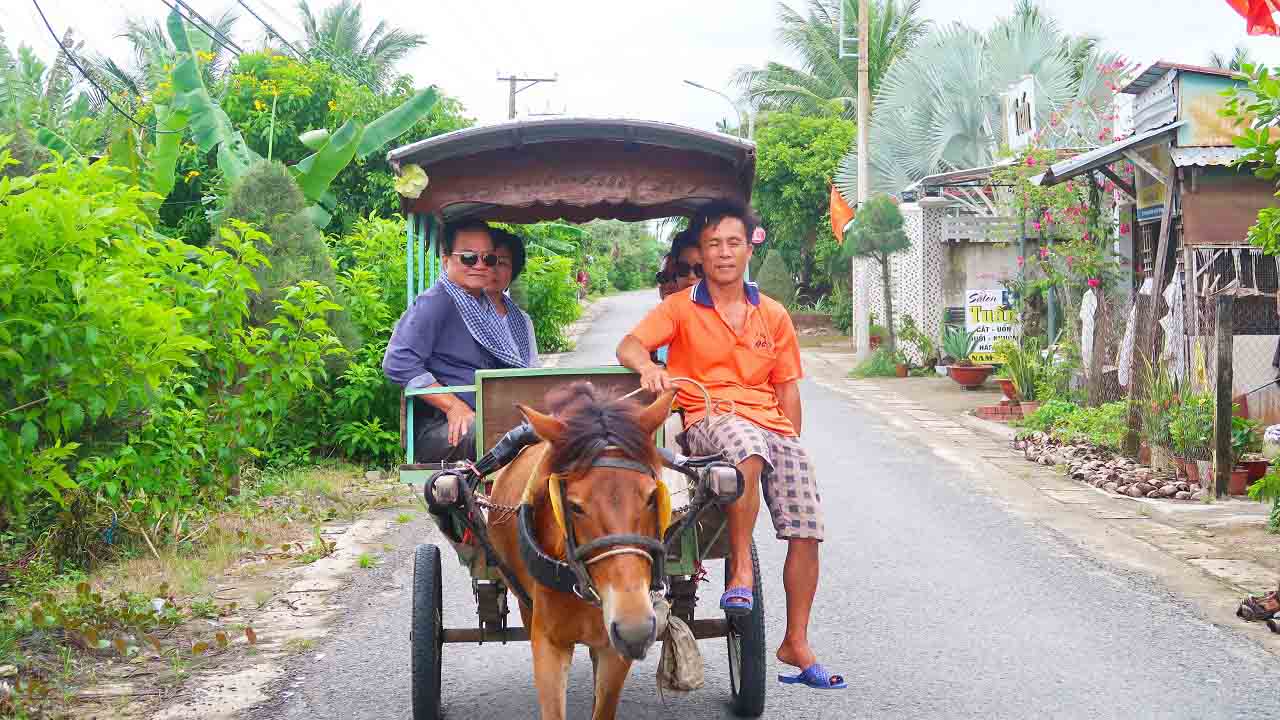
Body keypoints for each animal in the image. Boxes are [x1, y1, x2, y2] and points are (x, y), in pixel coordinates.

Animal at [483, 381, 675, 717]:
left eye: (653, 497)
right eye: (573, 506)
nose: (636, 629)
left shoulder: (615, 647)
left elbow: (604, 704)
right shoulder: (548, 643)